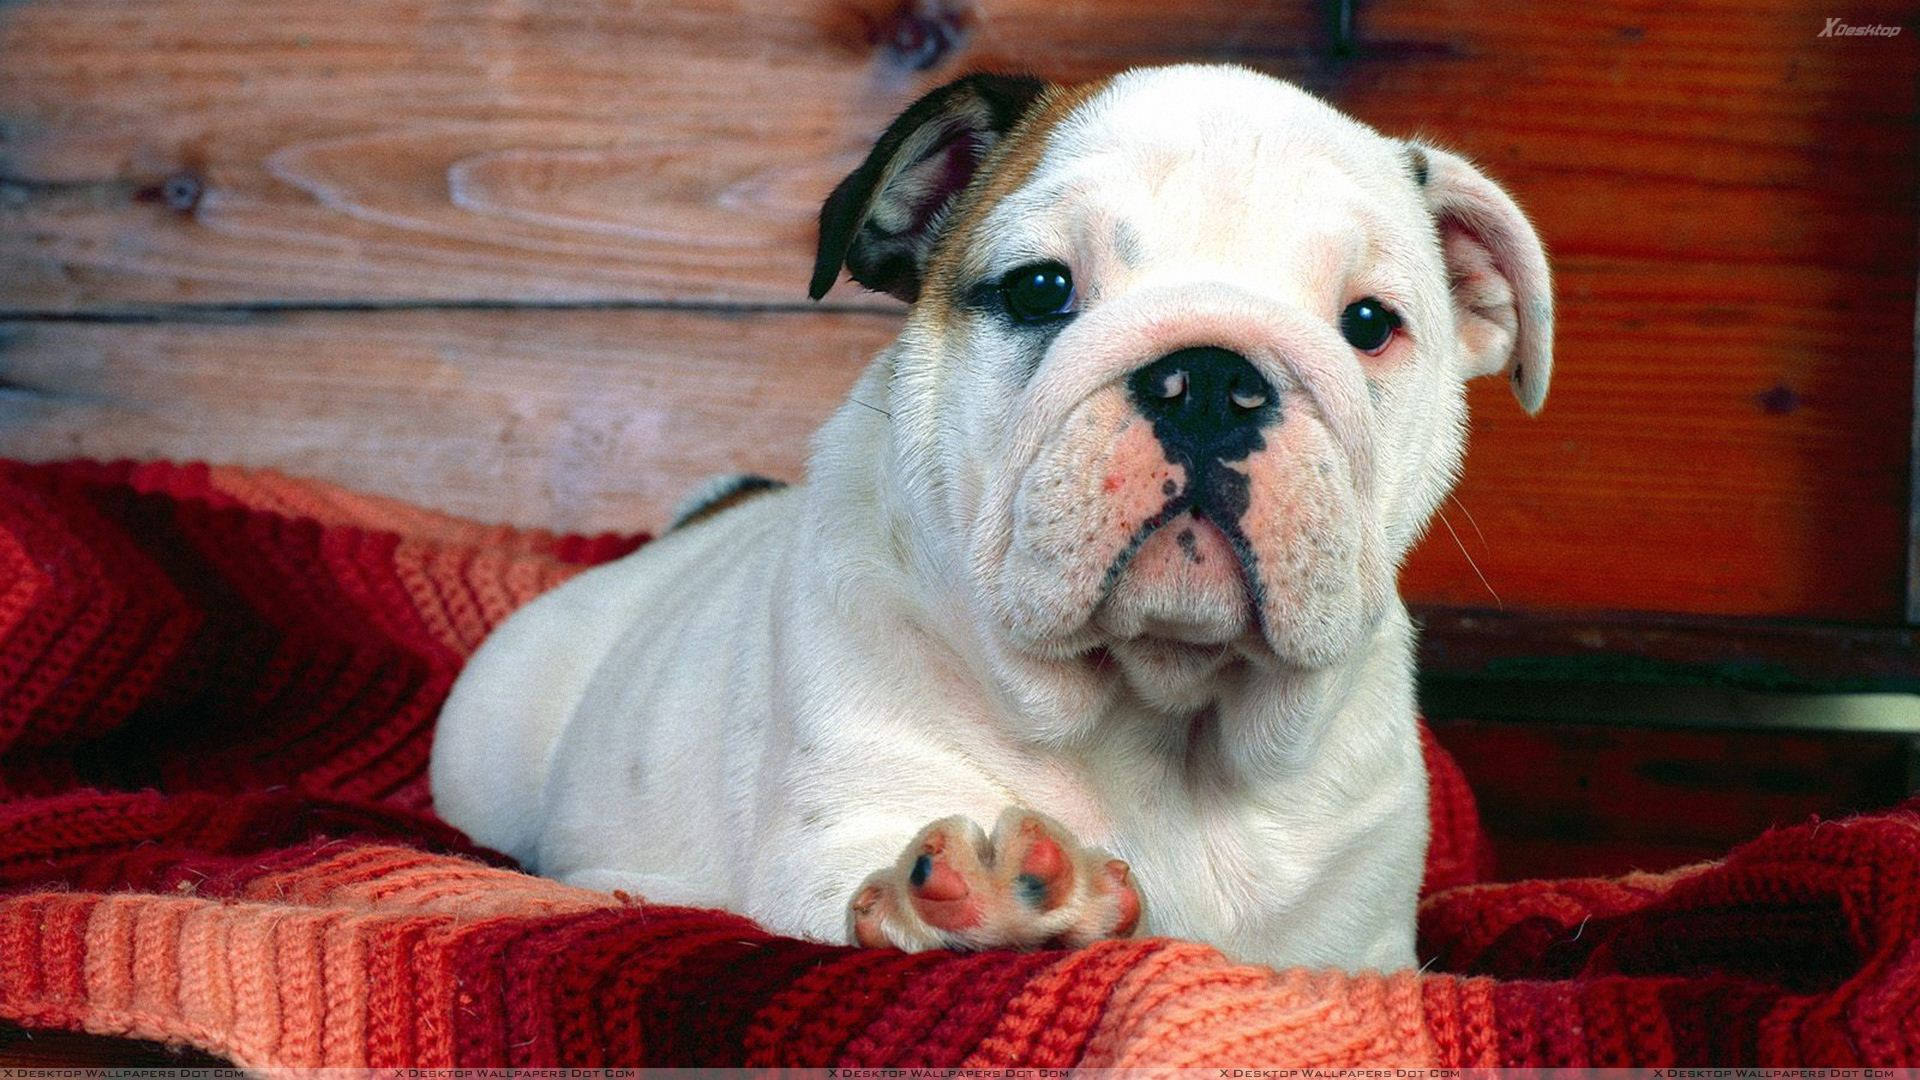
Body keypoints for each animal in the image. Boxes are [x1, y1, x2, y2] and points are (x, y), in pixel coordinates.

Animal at [428, 62, 1551, 968]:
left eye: (1369, 323)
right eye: (1040, 288)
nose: (1209, 380)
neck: (1162, 720)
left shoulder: (1364, 949)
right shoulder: (841, 832)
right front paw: (996, 905)